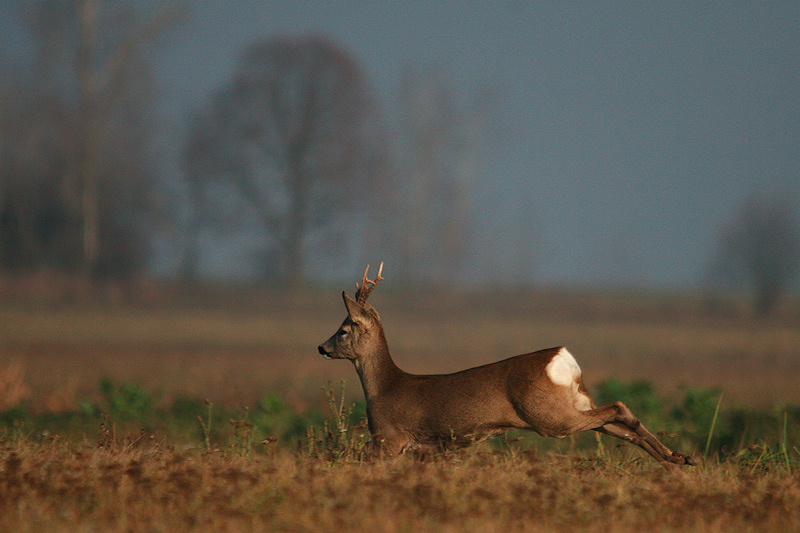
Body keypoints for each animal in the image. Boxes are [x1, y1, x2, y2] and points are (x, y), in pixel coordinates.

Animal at [318, 264, 692, 468]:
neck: (383, 387)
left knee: (617, 407)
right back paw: (678, 459)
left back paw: (675, 458)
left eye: (344, 329)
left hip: (549, 416)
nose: (321, 347)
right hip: (574, 404)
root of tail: (563, 359)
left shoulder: (390, 438)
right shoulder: (426, 449)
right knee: (619, 420)